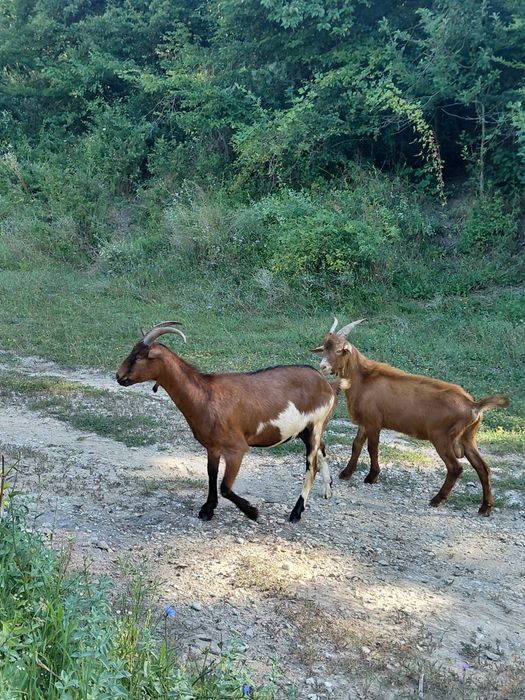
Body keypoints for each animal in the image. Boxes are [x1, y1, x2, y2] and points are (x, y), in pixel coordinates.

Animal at [116, 321, 337, 522]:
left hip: (315, 426)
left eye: (138, 357)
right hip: (307, 430)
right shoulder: (212, 447)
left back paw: (296, 512)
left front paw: (252, 511)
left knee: (311, 467)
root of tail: (325, 384)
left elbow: (224, 486)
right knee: (322, 448)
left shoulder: (236, 449)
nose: (119, 376)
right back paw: (328, 489)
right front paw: (208, 509)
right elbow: (211, 475)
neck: (205, 395)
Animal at [311, 318, 509, 516]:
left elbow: (372, 448)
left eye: (339, 350)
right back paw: (485, 507)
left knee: (455, 468)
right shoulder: (365, 423)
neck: (364, 378)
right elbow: (356, 445)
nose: (323, 367)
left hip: (442, 438)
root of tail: (473, 405)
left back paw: (437, 500)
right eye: (324, 347)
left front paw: (372, 476)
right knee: (483, 468)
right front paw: (346, 473)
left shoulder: (374, 422)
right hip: (468, 438)